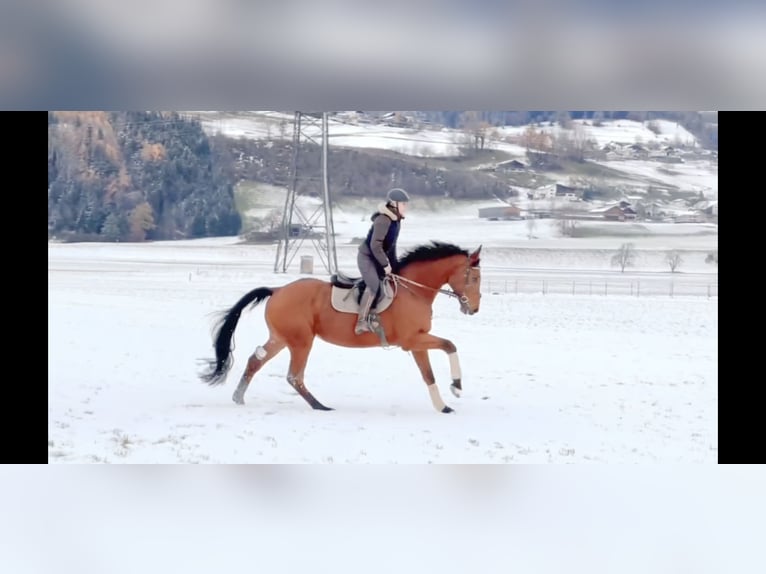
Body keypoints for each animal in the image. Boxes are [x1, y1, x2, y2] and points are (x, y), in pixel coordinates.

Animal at [201, 242, 484, 414]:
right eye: (474, 277)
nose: (474, 308)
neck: (413, 289)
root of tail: (277, 289)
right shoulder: (411, 340)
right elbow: (450, 345)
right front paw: (457, 386)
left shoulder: (417, 341)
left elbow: (429, 374)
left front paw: (443, 405)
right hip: (301, 341)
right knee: (294, 376)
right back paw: (320, 406)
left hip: (281, 338)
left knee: (255, 360)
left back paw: (239, 397)